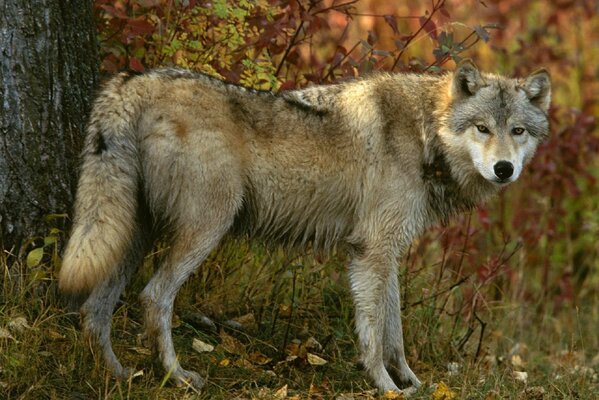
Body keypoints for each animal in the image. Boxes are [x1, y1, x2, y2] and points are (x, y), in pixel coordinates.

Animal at [58, 59, 552, 394]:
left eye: (519, 131)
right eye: (483, 128)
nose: (504, 169)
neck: (424, 132)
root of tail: (133, 80)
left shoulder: (385, 252)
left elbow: (394, 332)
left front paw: (412, 384)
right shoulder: (372, 251)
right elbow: (374, 336)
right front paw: (386, 387)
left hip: (130, 236)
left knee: (94, 310)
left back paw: (119, 375)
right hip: (203, 230)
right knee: (154, 297)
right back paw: (176, 377)